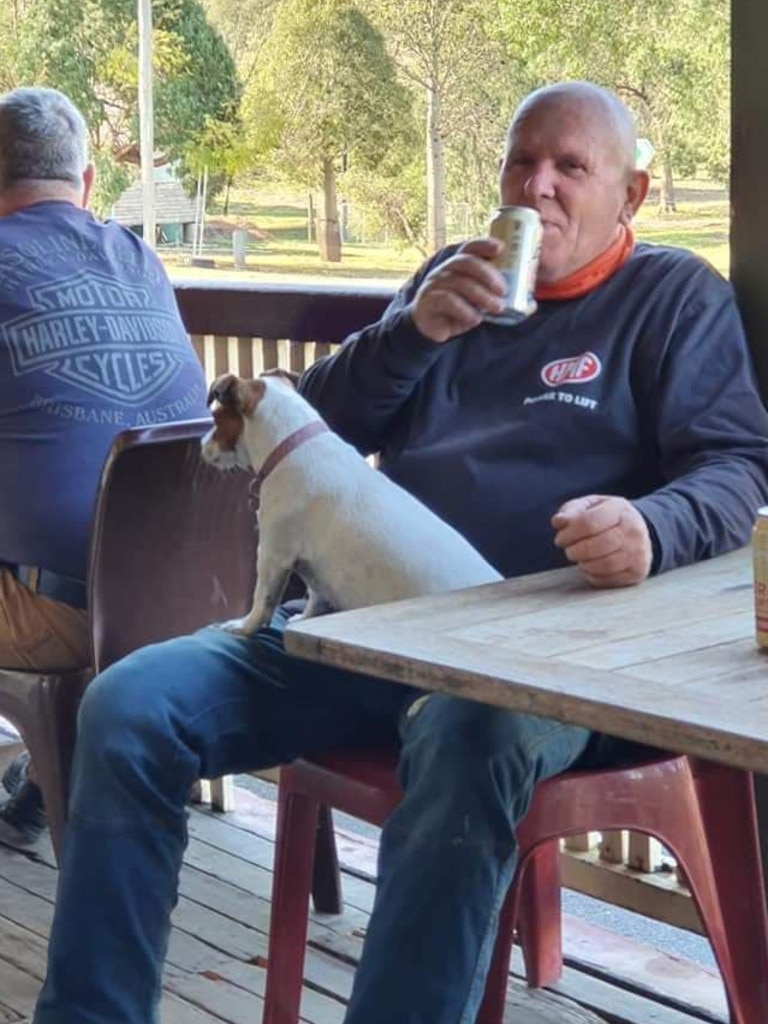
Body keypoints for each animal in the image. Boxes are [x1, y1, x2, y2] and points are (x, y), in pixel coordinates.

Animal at [201, 372, 501, 634]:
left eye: (216, 420)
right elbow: (315, 595)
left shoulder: (273, 554)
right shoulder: (311, 569)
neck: (290, 445)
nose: (201, 444)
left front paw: (244, 626)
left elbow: (262, 600)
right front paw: (306, 619)